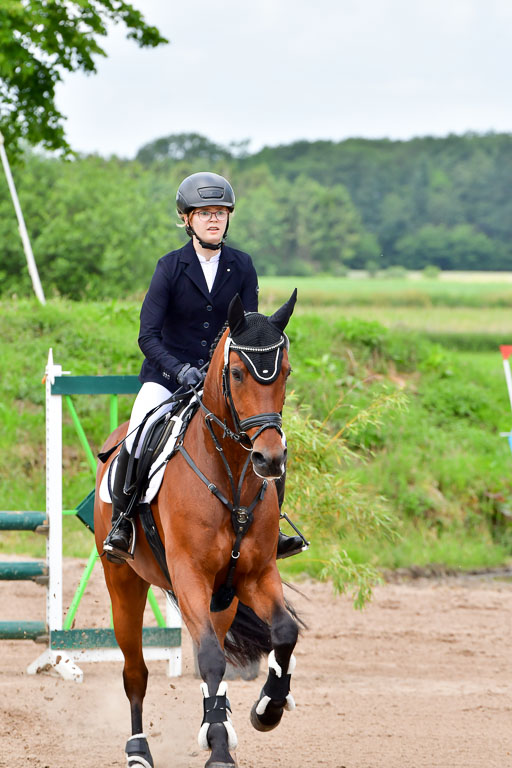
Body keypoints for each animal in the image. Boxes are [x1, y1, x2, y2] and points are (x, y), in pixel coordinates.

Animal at [94, 290, 300, 768]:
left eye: (284, 372)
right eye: (238, 373)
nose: (270, 459)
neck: (230, 473)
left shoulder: (256, 574)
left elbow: (284, 633)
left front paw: (267, 709)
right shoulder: (188, 574)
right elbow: (207, 658)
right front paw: (220, 751)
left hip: (221, 596)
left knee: (221, 649)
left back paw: (214, 725)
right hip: (124, 584)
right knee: (136, 670)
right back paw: (139, 750)